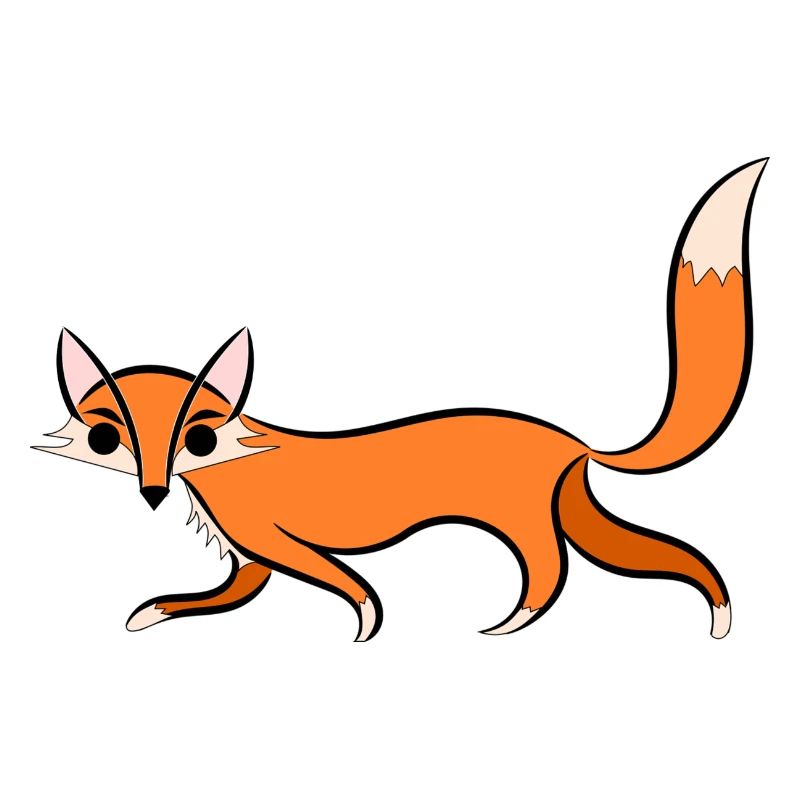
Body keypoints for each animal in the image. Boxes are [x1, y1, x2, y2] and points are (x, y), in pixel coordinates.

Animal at [35, 159, 765, 641]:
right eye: (106, 439)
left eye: (198, 438)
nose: (153, 493)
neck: (230, 464)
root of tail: (574, 443)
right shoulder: (249, 559)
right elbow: (220, 595)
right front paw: (152, 612)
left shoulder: (272, 539)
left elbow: (347, 585)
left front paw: (365, 620)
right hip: (576, 512)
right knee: (663, 556)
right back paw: (717, 613)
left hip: (527, 521)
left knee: (552, 571)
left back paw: (511, 623)